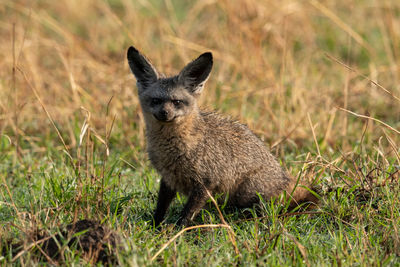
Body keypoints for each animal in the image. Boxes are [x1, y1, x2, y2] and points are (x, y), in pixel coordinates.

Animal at [126, 46, 318, 228]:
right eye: (156, 101)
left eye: (177, 102)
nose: (165, 113)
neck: (173, 147)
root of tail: (283, 178)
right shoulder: (168, 179)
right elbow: (160, 208)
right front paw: (155, 226)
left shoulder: (205, 183)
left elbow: (187, 214)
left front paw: (178, 230)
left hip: (247, 193)